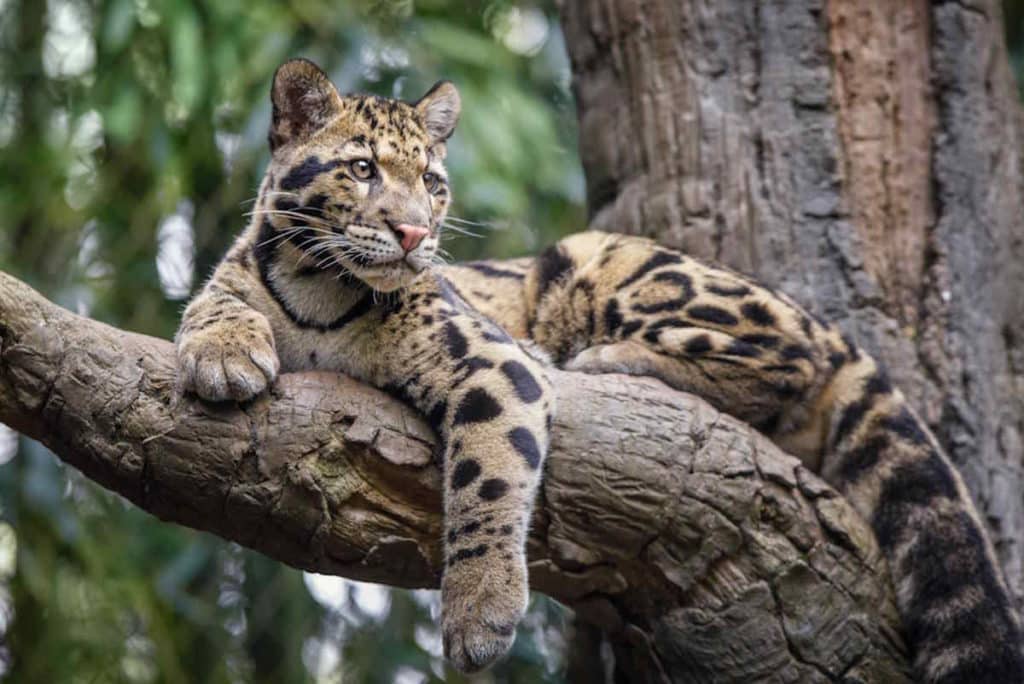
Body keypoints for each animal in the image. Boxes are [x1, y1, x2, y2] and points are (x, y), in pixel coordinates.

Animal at [176, 58, 1022, 682]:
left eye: (434, 185)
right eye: (360, 169)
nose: (416, 233)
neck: (320, 288)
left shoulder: (492, 359)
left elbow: (487, 477)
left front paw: (479, 611)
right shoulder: (240, 275)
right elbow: (211, 302)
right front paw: (223, 353)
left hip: (607, 260)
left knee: (789, 358)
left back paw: (606, 358)